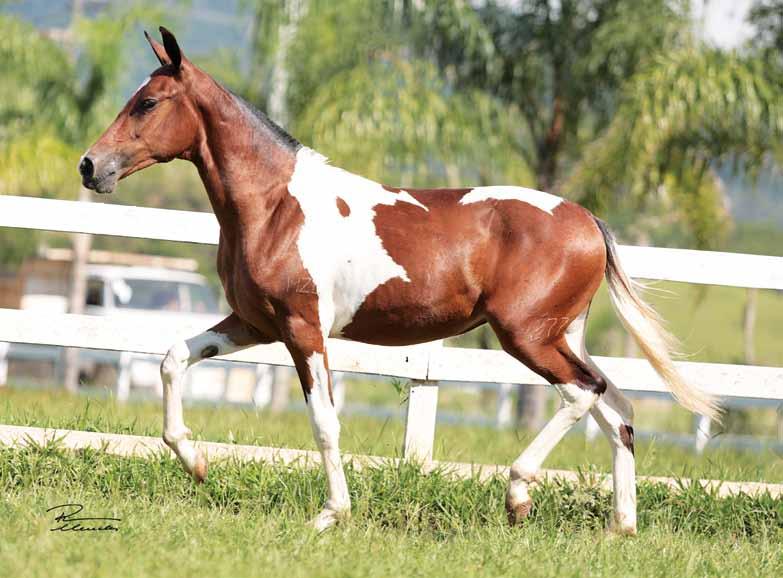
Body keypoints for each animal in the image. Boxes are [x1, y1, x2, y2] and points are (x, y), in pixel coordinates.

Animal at [76, 27, 720, 532]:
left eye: (148, 103)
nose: (89, 165)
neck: (275, 206)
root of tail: (586, 219)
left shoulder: (303, 329)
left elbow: (325, 422)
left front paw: (331, 514)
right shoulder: (254, 324)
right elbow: (172, 359)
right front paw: (196, 463)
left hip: (527, 337)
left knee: (584, 393)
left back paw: (518, 495)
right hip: (564, 336)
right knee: (618, 409)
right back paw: (620, 527)